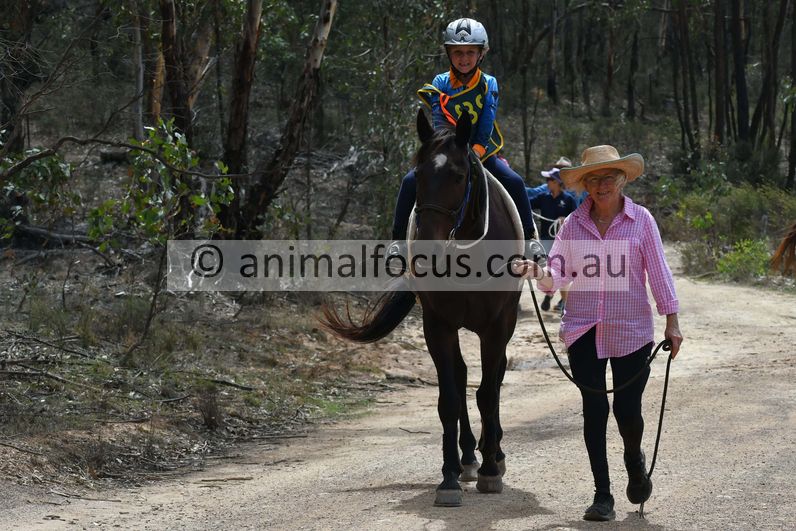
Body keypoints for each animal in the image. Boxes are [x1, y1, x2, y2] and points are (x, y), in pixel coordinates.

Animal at [321, 109, 527, 507]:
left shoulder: (496, 325)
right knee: (462, 377)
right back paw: (468, 458)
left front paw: (491, 470)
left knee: (493, 380)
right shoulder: (438, 324)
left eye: (459, 176)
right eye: (418, 176)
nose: (428, 250)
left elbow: (488, 392)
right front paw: (449, 478)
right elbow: (449, 398)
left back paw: (492, 454)